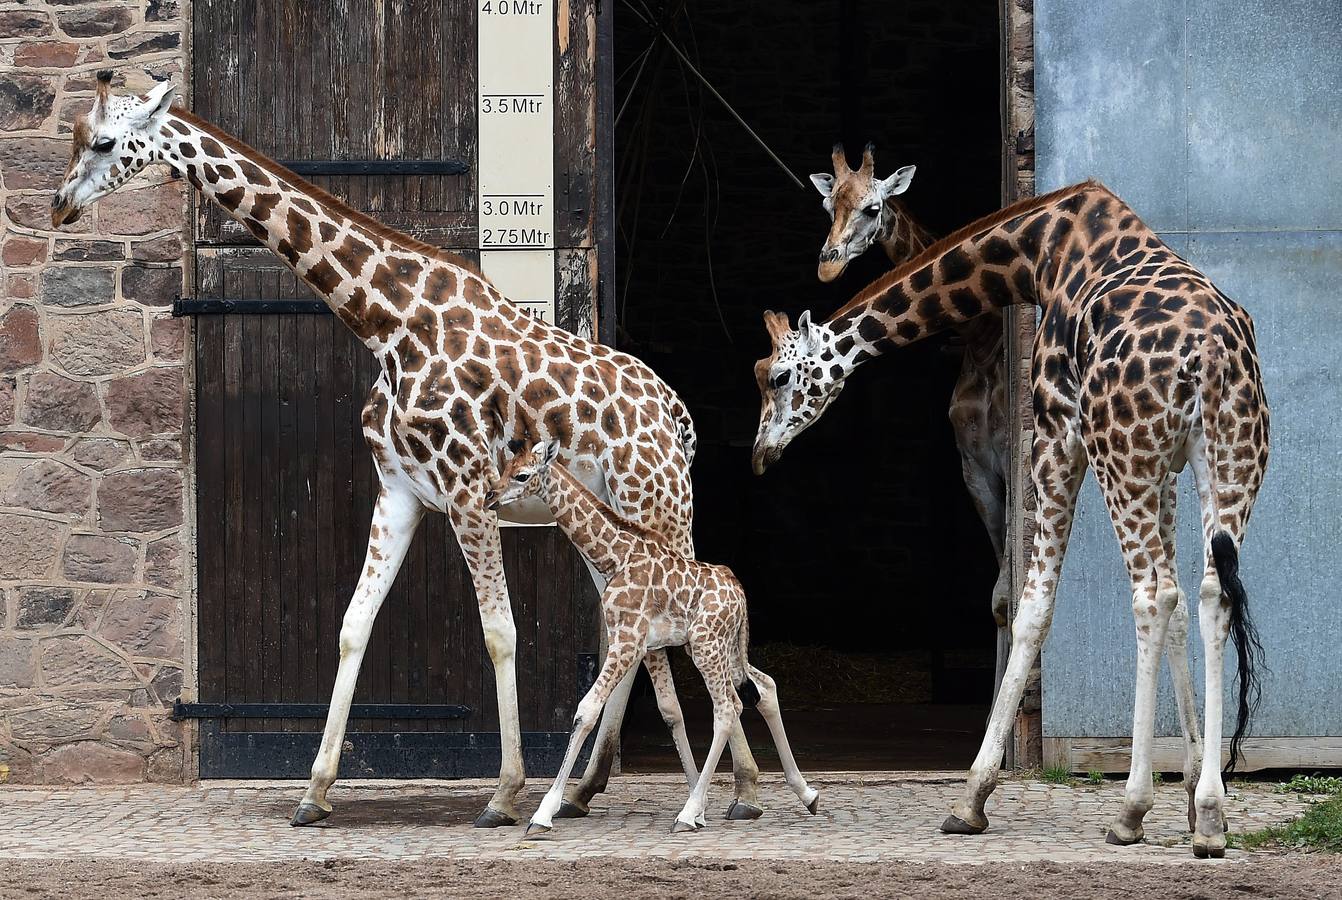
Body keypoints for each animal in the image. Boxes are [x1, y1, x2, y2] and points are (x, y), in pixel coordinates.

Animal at [52, 73, 767, 826]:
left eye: (105, 142)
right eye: (74, 136)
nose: (61, 205)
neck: (388, 324)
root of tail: (677, 416)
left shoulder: (469, 491)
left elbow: (499, 631)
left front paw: (504, 791)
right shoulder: (399, 491)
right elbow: (352, 625)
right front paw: (314, 791)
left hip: (659, 508)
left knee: (706, 631)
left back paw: (741, 788)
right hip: (616, 528)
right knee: (638, 637)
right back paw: (586, 788)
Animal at [485, 442, 810, 836]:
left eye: (521, 475)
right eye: (504, 468)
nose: (489, 496)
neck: (614, 557)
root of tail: (739, 592)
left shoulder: (627, 641)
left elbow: (586, 710)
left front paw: (543, 813)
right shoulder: (639, 643)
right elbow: (665, 709)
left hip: (707, 646)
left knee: (727, 707)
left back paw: (689, 813)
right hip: (723, 649)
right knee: (761, 687)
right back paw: (806, 794)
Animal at [805, 142, 1009, 692]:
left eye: (873, 208)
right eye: (828, 207)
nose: (827, 269)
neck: (983, 336)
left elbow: (1008, 590)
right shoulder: (973, 465)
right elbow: (1000, 598)